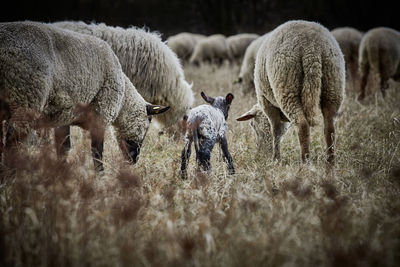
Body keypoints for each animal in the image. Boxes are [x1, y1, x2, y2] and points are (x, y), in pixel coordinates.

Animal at [0, 22, 169, 171]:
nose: (134, 160)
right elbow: (97, 152)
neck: (123, 101)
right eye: (147, 127)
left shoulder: (63, 116)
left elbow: (63, 148)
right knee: (12, 142)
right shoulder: (102, 115)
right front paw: (100, 176)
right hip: (26, 96)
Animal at [236, 21, 346, 166]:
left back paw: (305, 162)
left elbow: (275, 131)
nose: (260, 155)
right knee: (329, 127)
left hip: (287, 87)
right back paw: (330, 162)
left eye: (253, 125)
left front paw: (275, 160)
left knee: (302, 125)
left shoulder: (267, 103)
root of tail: (312, 49)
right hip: (333, 84)